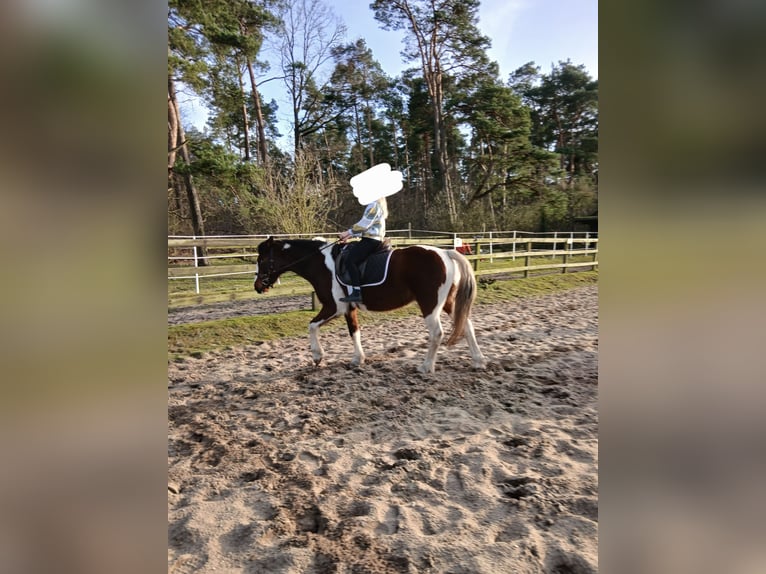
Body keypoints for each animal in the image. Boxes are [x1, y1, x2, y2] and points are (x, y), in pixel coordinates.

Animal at [253, 237, 486, 373]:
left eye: (262, 260)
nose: (257, 286)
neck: (322, 264)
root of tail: (445, 253)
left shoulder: (333, 307)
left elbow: (311, 326)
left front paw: (318, 356)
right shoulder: (348, 309)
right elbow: (354, 332)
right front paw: (358, 359)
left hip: (430, 305)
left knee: (437, 333)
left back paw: (426, 367)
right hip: (447, 303)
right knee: (467, 325)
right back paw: (478, 361)